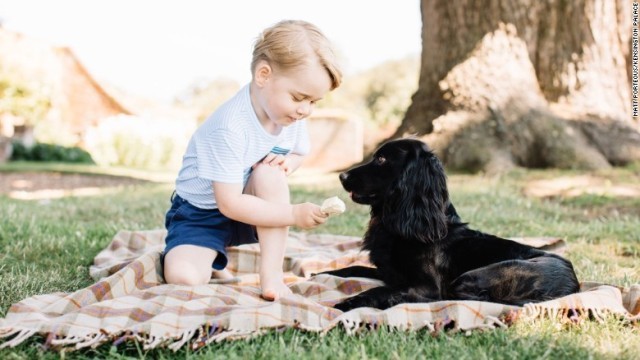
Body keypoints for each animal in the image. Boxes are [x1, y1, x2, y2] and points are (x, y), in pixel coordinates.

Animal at [324, 139, 580, 312]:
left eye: (382, 159)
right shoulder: (389, 272)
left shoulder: (426, 286)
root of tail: (572, 286)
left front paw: (349, 302)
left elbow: (382, 289)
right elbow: (351, 269)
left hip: (475, 276)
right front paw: (322, 273)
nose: (342, 176)